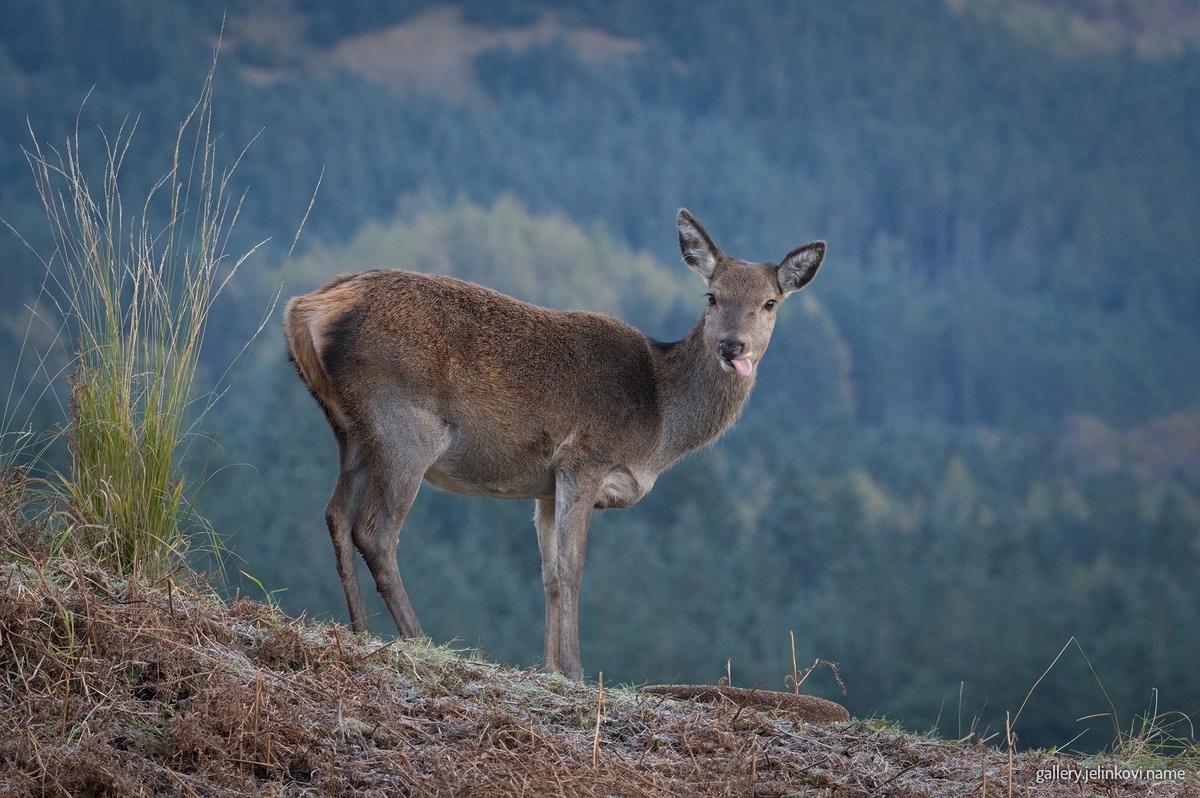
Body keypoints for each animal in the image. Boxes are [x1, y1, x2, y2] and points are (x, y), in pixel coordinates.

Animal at [284, 209, 825, 681]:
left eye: (770, 303)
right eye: (711, 296)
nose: (732, 346)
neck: (657, 426)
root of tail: (305, 309)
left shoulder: (544, 485)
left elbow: (547, 574)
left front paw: (548, 669)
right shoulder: (584, 458)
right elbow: (572, 568)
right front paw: (576, 670)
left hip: (350, 430)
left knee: (335, 515)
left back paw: (360, 632)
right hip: (403, 427)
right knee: (375, 531)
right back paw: (418, 639)